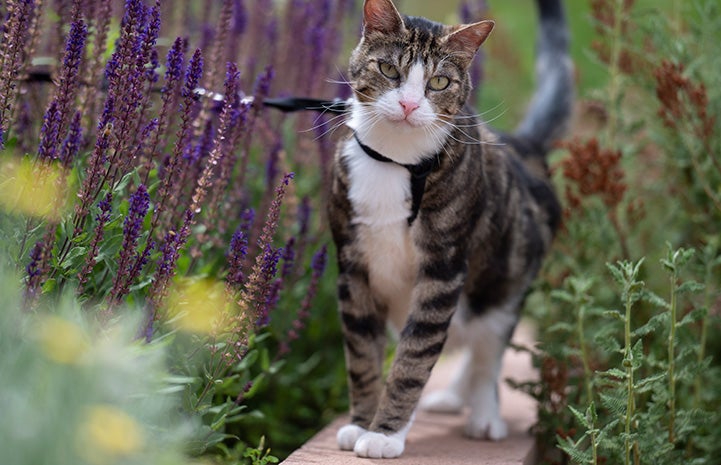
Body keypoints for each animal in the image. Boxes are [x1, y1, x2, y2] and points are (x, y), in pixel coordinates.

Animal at [328, 0, 572, 456]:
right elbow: (361, 355)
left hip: (505, 282)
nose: (408, 105)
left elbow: (415, 354)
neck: (396, 161)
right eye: (389, 70)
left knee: (486, 350)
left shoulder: (443, 268)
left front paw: (384, 434)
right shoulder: (352, 267)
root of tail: (522, 145)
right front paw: (360, 423)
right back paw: (454, 397)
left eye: (439, 82)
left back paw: (484, 416)